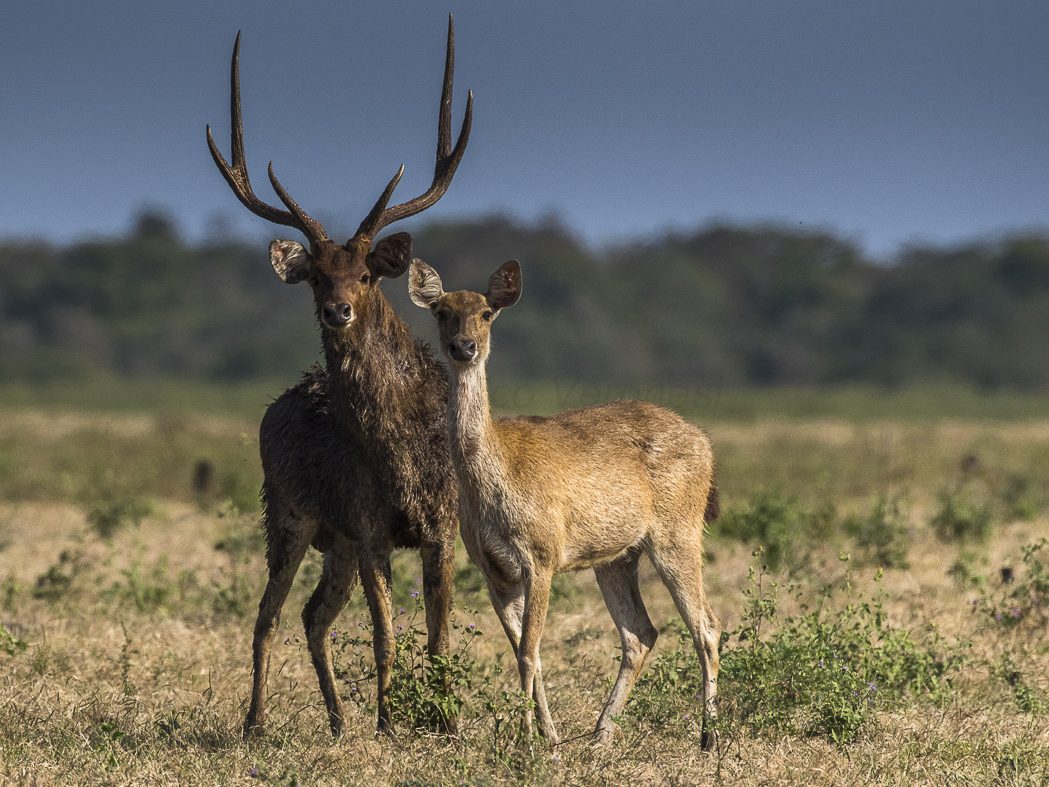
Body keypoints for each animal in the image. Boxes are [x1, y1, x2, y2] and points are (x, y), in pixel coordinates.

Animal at [205, 17, 472, 739]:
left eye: (366, 273)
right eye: (318, 276)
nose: (338, 309)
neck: (402, 451)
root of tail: (278, 402)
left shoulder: (442, 523)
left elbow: (441, 635)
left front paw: (442, 721)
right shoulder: (369, 522)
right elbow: (385, 634)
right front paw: (389, 722)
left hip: (335, 542)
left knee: (312, 614)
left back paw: (335, 719)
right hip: (288, 511)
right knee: (268, 616)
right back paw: (256, 722)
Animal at [408, 258, 722, 750]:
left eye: (486, 312)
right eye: (442, 312)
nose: (464, 347)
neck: (496, 479)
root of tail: (707, 446)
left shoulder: (542, 554)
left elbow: (528, 650)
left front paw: (527, 741)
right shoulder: (493, 570)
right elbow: (525, 650)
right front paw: (549, 738)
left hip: (678, 532)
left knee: (706, 626)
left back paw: (708, 738)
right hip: (616, 556)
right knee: (640, 633)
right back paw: (599, 734)